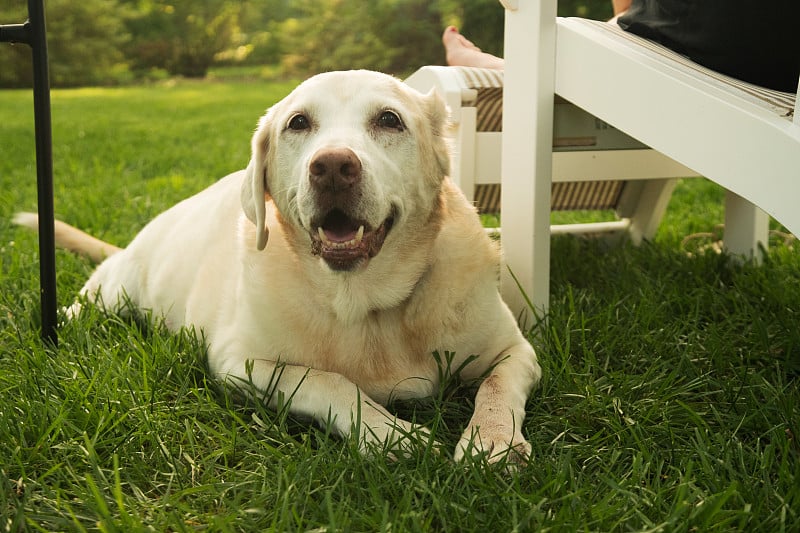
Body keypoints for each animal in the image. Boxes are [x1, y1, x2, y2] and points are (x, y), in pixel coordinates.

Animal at [18, 69, 540, 462]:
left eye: (390, 120)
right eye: (298, 123)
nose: (332, 167)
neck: (365, 304)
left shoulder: (517, 351)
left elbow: (497, 387)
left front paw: (494, 441)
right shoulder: (241, 363)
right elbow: (329, 382)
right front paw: (390, 433)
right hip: (112, 291)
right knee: (84, 305)